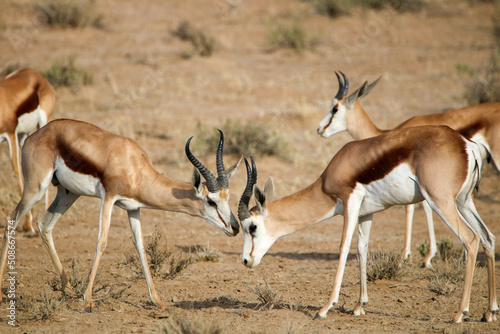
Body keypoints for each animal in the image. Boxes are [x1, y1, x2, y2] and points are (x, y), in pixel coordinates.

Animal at [0, 68, 55, 232]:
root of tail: (36, 74)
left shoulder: (10, 134)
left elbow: (16, 172)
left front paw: (28, 225)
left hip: (43, 124)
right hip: (23, 136)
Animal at [0, 118, 242, 312]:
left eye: (227, 197)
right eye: (211, 201)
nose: (235, 227)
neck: (134, 165)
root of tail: (36, 134)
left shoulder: (133, 209)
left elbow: (141, 248)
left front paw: (158, 301)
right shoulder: (108, 197)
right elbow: (102, 242)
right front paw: (89, 302)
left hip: (68, 193)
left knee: (44, 225)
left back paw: (69, 290)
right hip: (36, 188)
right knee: (12, 218)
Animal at [241, 125, 496, 324]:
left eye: (251, 227)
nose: (246, 261)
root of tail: (466, 145)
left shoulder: (350, 202)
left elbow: (344, 248)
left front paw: (325, 308)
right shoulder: (367, 213)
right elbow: (361, 249)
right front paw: (359, 305)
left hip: (441, 201)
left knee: (470, 239)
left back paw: (460, 313)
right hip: (463, 201)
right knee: (488, 237)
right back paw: (490, 312)